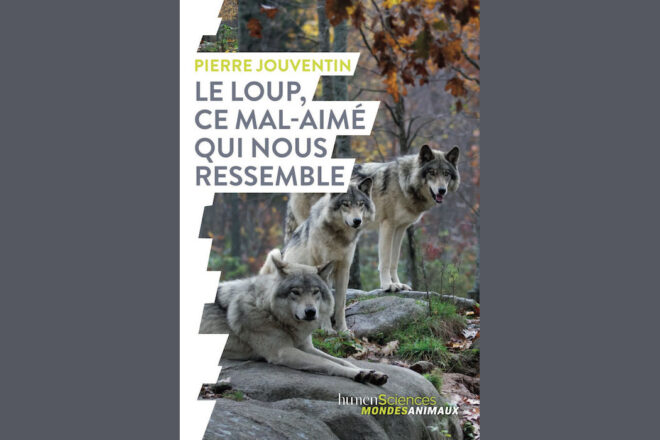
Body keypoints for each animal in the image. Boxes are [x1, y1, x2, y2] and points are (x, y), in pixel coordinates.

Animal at [209, 250, 388, 385]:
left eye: (315, 291)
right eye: (295, 292)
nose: (310, 312)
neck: (270, 312)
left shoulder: (306, 347)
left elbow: (342, 360)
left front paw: (369, 372)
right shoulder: (283, 352)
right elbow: (327, 363)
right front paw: (357, 374)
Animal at [263, 178, 375, 335]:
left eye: (361, 204)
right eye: (345, 204)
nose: (357, 221)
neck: (338, 237)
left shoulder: (344, 269)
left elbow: (340, 304)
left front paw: (343, 330)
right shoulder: (322, 268)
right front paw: (327, 329)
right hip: (274, 254)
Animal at [285, 145, 460, 292]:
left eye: (446, 174)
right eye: (432, 172)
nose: (442, 190)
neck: (403, 183)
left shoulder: (400, 228)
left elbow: (394, 260)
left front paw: (398, 284)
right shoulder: (387, 225)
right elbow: (385, 260)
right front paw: (388, 285)